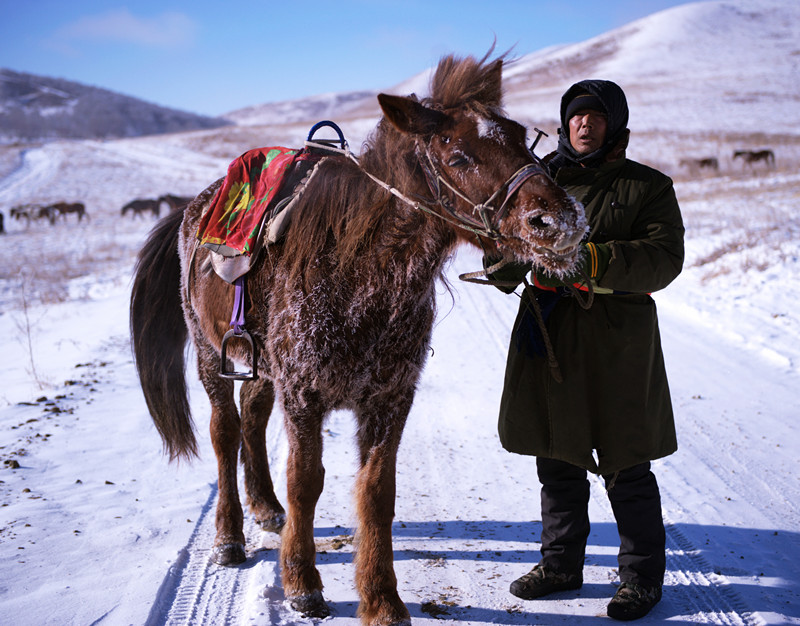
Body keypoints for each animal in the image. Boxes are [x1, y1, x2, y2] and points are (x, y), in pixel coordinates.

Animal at [128, 52, 584, 624]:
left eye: (523, 139)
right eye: (458, 155)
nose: (559, 221)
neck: (356, 275)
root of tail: (195, 207)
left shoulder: (389, 399)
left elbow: (376, 492)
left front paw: (382, 598)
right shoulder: (304, 395)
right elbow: (306, 481)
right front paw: (302, 583)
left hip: (260, 366)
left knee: (252, 420)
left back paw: (266, 508)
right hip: (212, 357)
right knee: (225, 432)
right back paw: (229, 537)